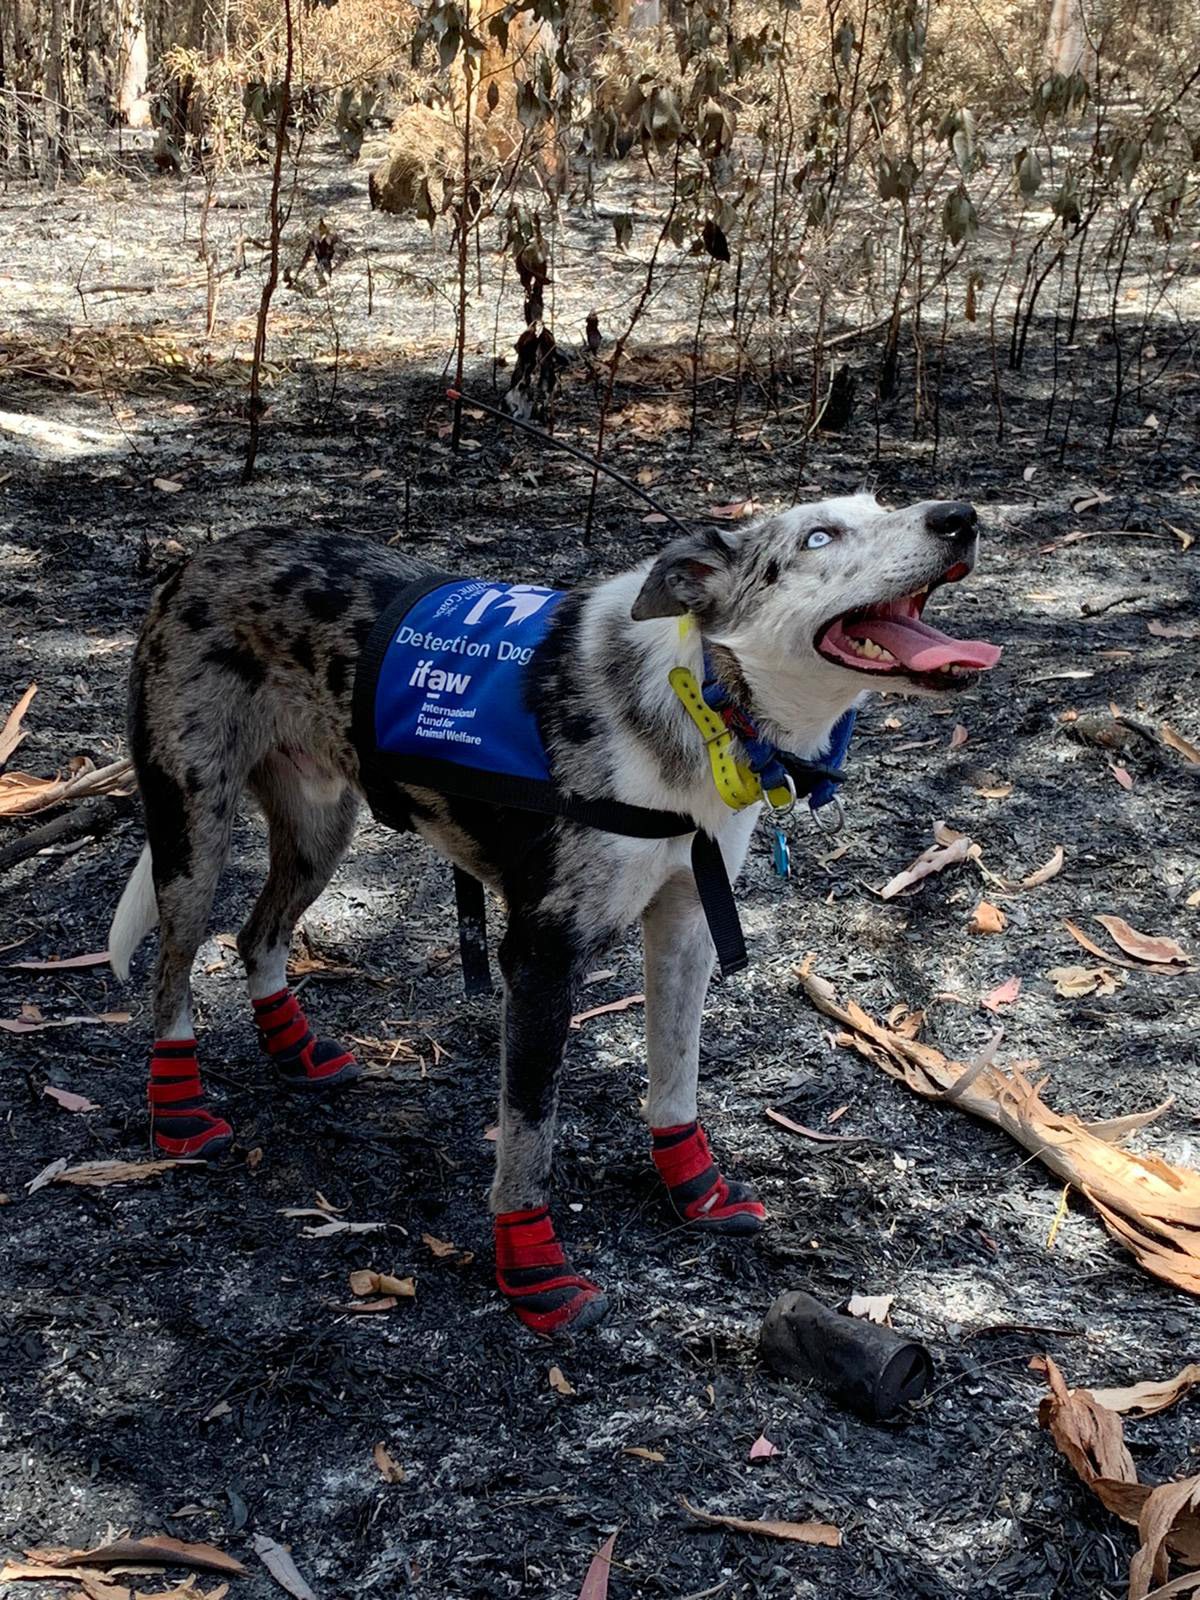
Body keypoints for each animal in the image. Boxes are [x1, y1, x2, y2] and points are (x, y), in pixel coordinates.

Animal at [112, 489, 998, 1337]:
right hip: (193, 833)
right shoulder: (541, 958)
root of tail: (199, 558)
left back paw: (293, 1049)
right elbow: (529, 1136)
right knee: (172, 972)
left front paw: (697, 1193)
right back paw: (180, 1111)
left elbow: (676, 1079)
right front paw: (535, 1274)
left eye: (883, 506)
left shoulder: (687, 927)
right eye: (819, 537)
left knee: (255, 934)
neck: (701, 698)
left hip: (320, 828)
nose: (961, 519)